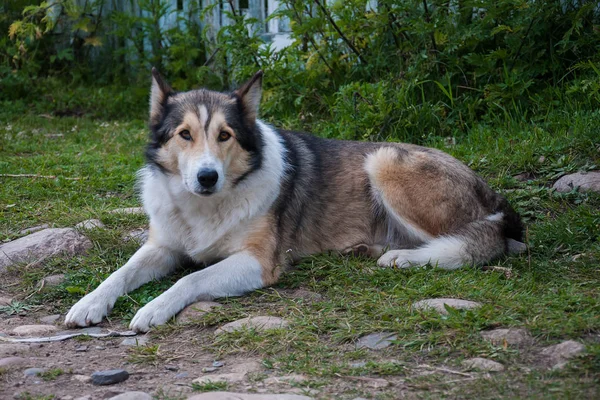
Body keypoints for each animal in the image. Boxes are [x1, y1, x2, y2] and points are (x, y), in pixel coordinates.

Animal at [67, 69, 524, 332]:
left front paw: (153, 309)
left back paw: (404, 258)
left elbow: (190, 279)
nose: (206, 177)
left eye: (224, 135)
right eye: (184, 134)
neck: (208, 205)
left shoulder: (257, 263)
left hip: (384, 160)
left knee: (473, 243)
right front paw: (89, 303)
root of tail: (493, 194)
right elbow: (120, 273)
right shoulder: (162, 246)